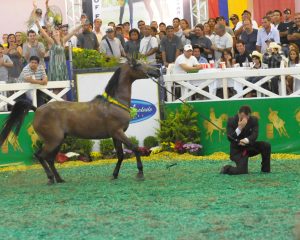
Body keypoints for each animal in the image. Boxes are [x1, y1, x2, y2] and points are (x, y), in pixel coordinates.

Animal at [0, 59, 159, 185]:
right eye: (138, 64)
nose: (157, 70)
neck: (114, 103)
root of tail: (37, 109)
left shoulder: (115, 135)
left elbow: (120, 154)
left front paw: (114, 175)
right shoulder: (118, 132)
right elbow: (134, 148)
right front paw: (140, 173)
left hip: (58, 140)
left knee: (50, 159)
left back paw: (60, 179)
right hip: (53, 140)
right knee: (40, 156)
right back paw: (51, 178)